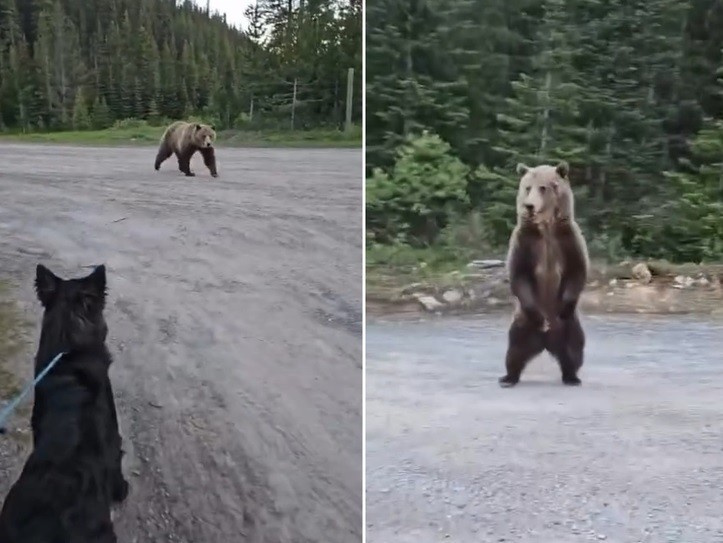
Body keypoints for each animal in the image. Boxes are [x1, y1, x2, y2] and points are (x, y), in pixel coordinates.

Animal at [498, 160, 590, 387]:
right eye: (527, 187)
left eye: (543, 187)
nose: (529, 206)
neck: (546, 228)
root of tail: (547, 341)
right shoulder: (525, 241)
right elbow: (519, 274)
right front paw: (540, 319)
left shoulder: (568, 239)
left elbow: (576, 270)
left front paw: (564, 308)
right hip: (522, 323)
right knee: (515, 349)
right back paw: (508, 377)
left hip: (570, 326)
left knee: (574, 349)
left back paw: (572, 376)